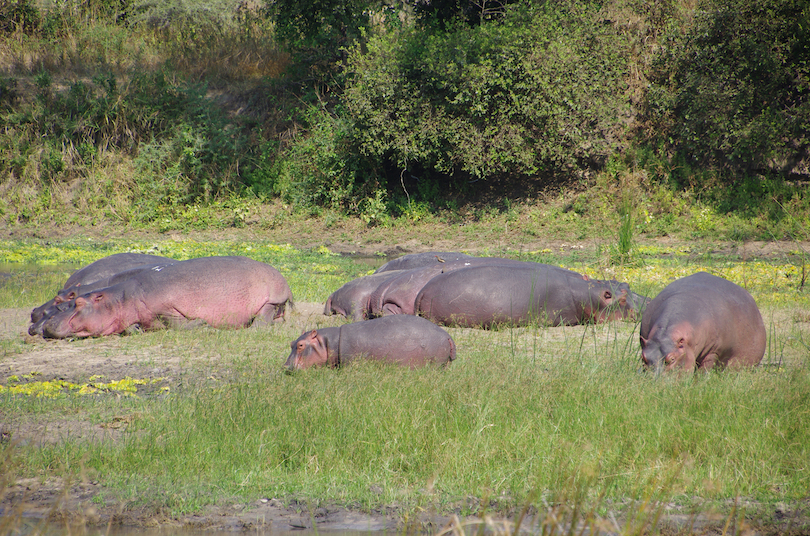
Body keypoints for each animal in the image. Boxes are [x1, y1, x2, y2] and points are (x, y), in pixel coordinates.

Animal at [39, 256, 294, 340]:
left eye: (79, 303)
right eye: (65, 301)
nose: (47, 322)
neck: (120, 298)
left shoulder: (168, 307)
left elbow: (176, 322)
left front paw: (202, 324)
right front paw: (136, 329)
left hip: (271, 299)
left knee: (265, 315)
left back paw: (253, 327)